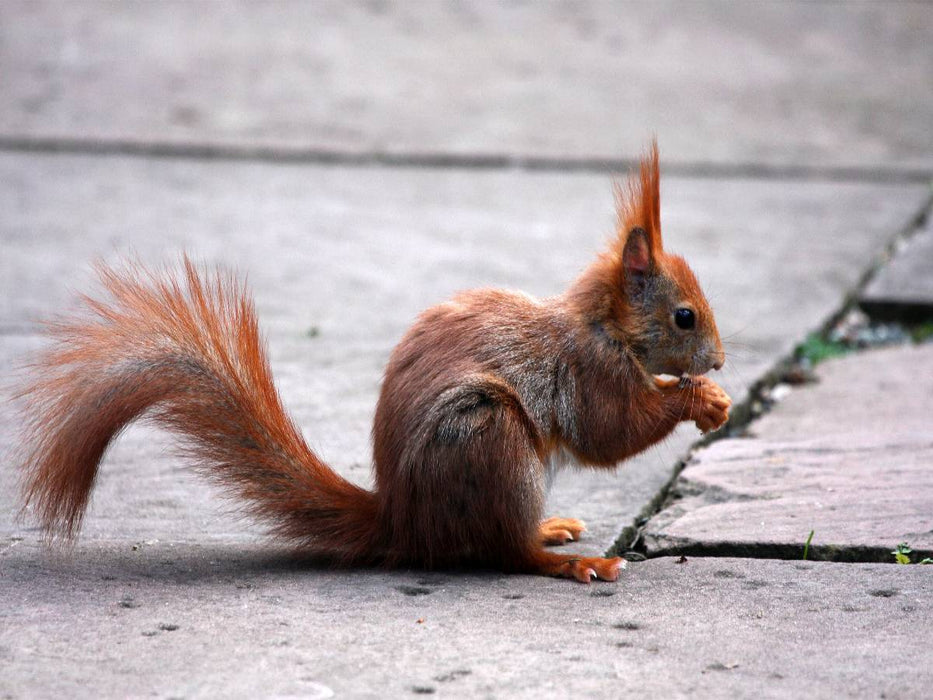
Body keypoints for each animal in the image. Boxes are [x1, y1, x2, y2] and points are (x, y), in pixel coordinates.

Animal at [16, 140, 731, 583]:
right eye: (684, 316)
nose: (721, 362)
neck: (601, 325)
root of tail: (403, 522)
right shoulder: (586, 372)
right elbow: (611, 431)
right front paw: (698, 399)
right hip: (488, 440)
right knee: (505, 551)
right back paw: (567, 560)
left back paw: (552, 529)